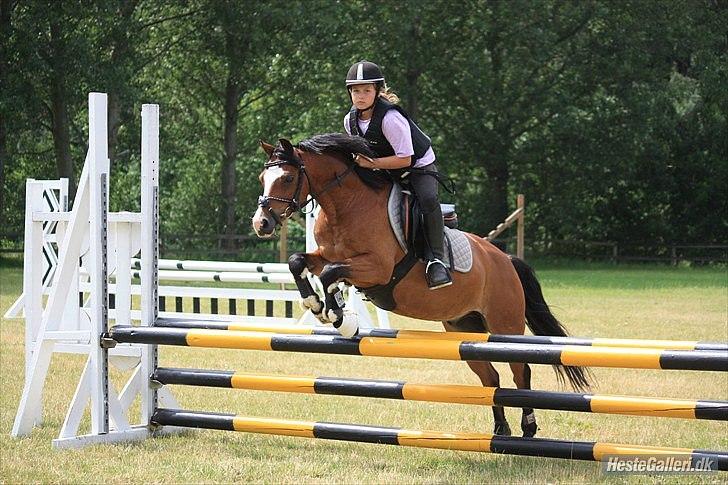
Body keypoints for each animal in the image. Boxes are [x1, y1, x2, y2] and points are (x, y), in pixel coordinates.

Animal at [252, 133, 590, 438]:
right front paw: (317, 305)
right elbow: (299, 261)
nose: (261, 224)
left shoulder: (377, 268)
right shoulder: (325, 257)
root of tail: (505, 259)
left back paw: (528, 427)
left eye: (287, 178)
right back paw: (500, 430)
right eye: (262, 178)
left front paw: (338, 317)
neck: (346, 205)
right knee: (490, 377)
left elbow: (330, 274)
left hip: (503, 325)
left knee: (521, 371)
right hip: (464, 329)